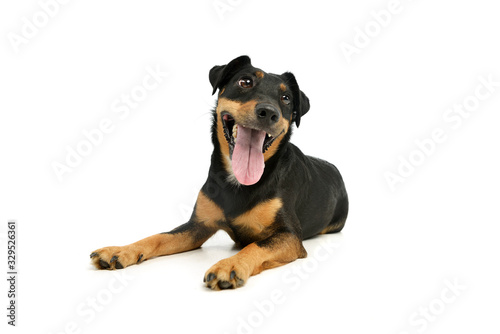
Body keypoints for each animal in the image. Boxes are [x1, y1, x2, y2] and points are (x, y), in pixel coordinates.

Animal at [90, 54, 348, 290]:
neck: (238, 182)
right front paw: (121, 251)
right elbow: (160, 236)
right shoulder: (198, 226)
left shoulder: (289, 235)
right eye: (245, 82)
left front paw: (230, 265)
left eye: (286, 98)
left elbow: (257, 245)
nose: (269, 112)